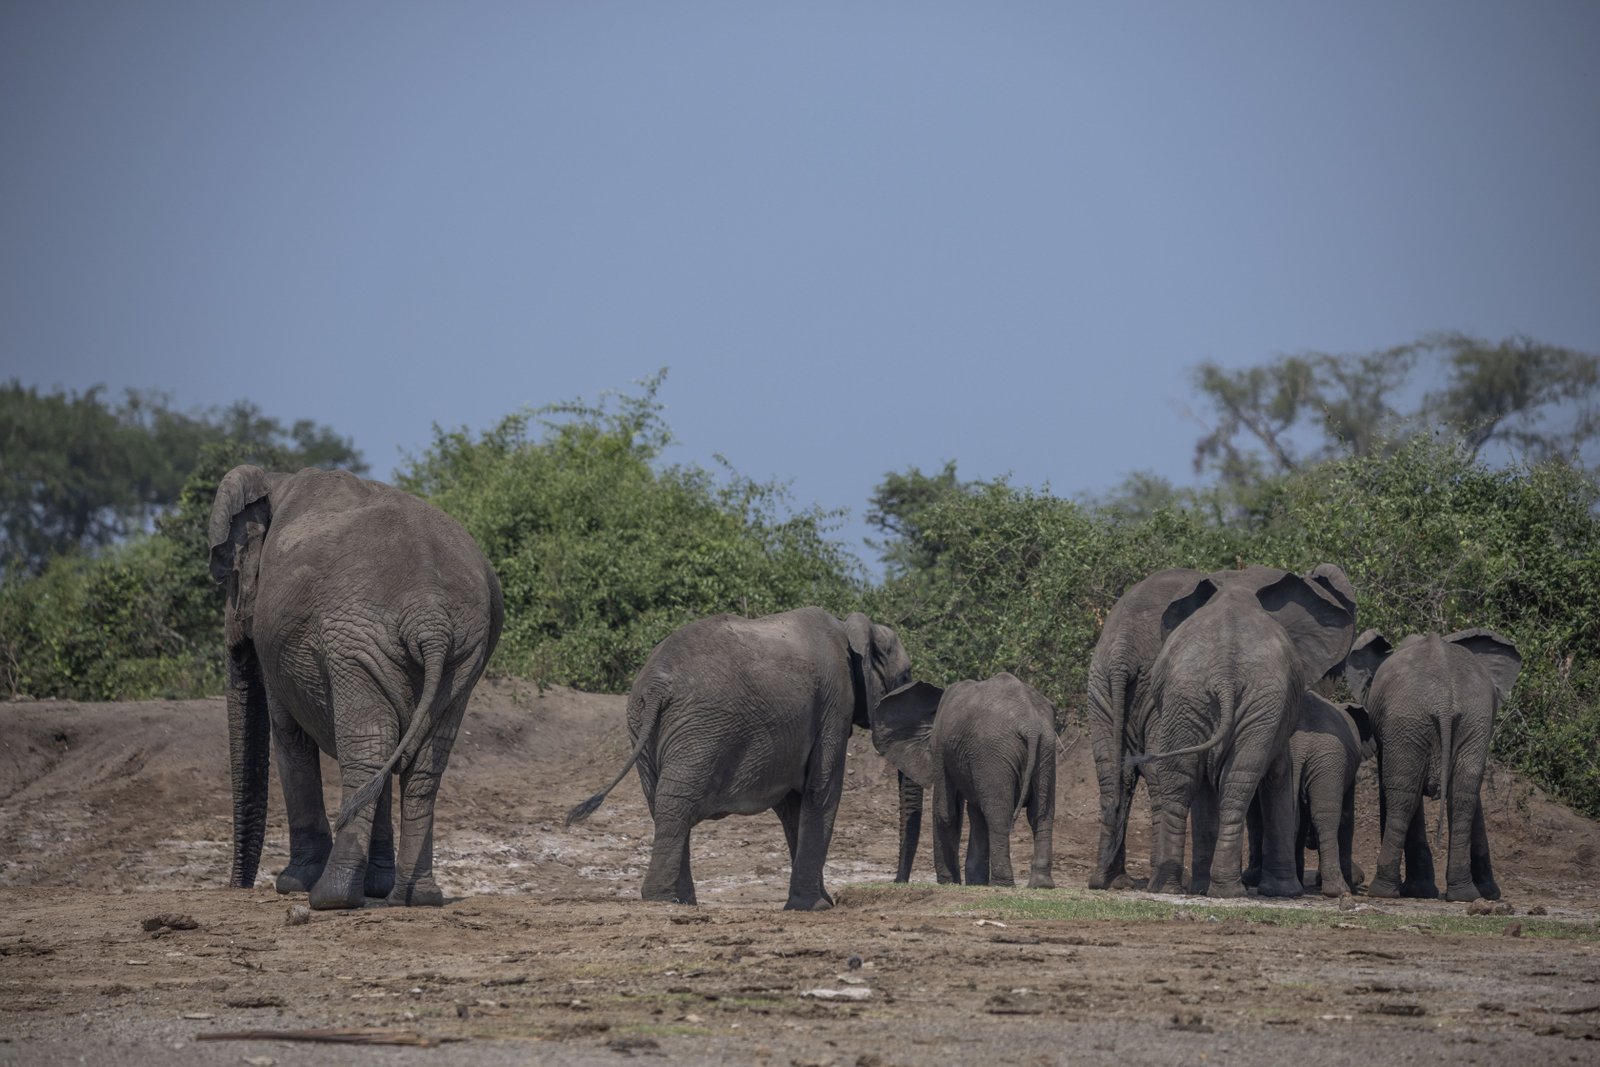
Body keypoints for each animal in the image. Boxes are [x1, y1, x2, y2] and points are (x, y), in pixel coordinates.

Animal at [209, 465, 503, 910]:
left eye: (230, 575)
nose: (235, 887)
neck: (276, 479)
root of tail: (430, 617)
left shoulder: (276, 640)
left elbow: (289, 735)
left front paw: (293, 883)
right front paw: (376, 886)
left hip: (356, 639)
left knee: (369, 744)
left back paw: (330, 897)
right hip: (460, 654)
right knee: (420, 761)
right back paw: (415, 897)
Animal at [566, 607, 911, 911]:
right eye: (907, 674)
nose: (897, 884)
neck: (849, 628)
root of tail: (655, 686)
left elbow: (793, 807)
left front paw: (814, 902)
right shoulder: (835, 702)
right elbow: (821, 790)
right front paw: (816, 907)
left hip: (644, 725)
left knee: (664, 804)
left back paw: (680, 901)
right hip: (701, 727)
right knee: (677, 802)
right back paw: (664, 900)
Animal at [871, 673, 1057, 888]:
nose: (897, 881)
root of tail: (1031, 726)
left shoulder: (942, 748)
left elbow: (946, 812)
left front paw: (949, 882)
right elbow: (974, 811)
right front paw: (975, 882)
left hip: (996, 752)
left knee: (999, 815)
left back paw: (1002, 884)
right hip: (1045, 750)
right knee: (1041, 815)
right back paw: (1041, 884)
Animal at [1087, 563, 1358, 890]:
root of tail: (1122, 651)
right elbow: (1278, 772)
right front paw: (1281, 889)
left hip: (1110, 690)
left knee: (1124, 775)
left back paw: (1116, 881)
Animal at [1346, 628, 1521, 902]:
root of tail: (1445, 700)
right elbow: (1471, 797)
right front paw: (1489, 893)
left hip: (1409, 719)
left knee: (1403, 796)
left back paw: (1383, 891)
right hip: (1471, 719)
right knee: (1462, 795)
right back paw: (1463, 895)